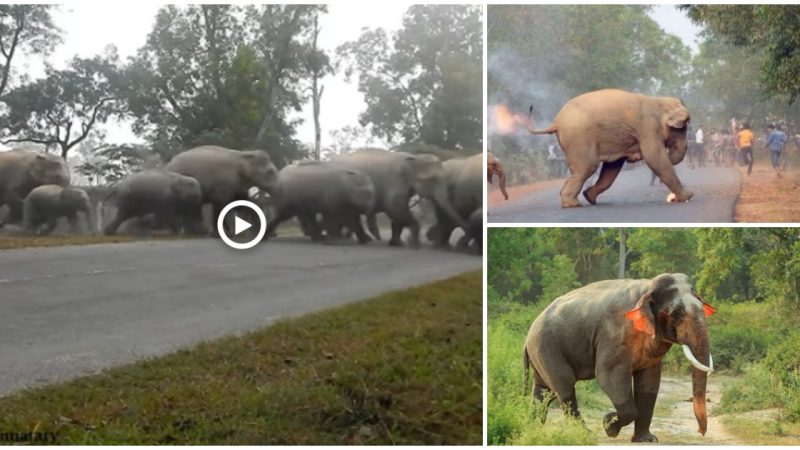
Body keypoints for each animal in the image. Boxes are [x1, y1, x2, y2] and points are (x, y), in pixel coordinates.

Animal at [332, 149, 468, 248]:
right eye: (432, 179)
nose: (466, 237)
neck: (414, 157)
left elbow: (397, 215)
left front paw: (397, 243)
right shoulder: (394, 181)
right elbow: (395, 209)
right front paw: (413, 243)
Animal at [520, 274, 716, 442]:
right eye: (677, 313)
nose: (701, 432)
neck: (647, 287)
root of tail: (527, 338)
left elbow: (649, 380)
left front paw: (646, 440)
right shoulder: (613, 336)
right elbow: (608, 374)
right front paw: (609, 425)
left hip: (541, 353)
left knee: (544, 391)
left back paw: (532, 429)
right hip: (547, 347)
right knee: (564, 386)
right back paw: (585, 434)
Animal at [528, 88, 692, 207]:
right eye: (683, 129)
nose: (635, 157)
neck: (658, 101)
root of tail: (556, 122)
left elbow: (612, 167)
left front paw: (589, 196)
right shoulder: (648, 128)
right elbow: (655, 158)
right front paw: (688, 196)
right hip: (578, 138)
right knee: (588, 167)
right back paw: (572, 204)